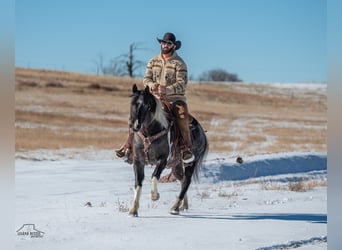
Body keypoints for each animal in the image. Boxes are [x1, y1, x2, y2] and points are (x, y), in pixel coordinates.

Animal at [128, 84, 208, 217]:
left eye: (147, 105)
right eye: (132, 103)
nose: (135, 125)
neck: (150, 133)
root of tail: (201, 131)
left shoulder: (163, 160)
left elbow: (155, 176)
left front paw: (154, 196)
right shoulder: (138, 161)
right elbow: (138, 183)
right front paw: (133, 210)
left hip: (191, 162)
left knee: (186, 182)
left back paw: (174, 208)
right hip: (176, 165)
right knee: (182, 180)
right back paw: (182, 206)